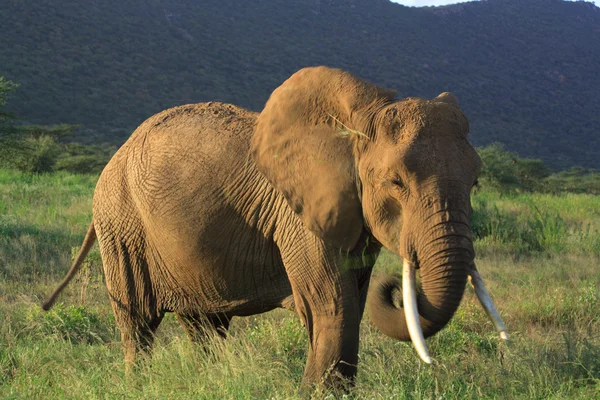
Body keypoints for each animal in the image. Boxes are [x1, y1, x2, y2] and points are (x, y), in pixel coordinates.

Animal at [43, 67, 506, 390]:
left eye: (475, 183)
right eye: (396, 183)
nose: (394, 285)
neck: (353, 125)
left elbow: (354, 301)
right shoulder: (299, 216)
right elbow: (333, 304)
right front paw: (317, 394)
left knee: (204, 324)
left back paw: (210, 382)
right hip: (122, 223)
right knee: (138, 322)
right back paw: (139, 384)